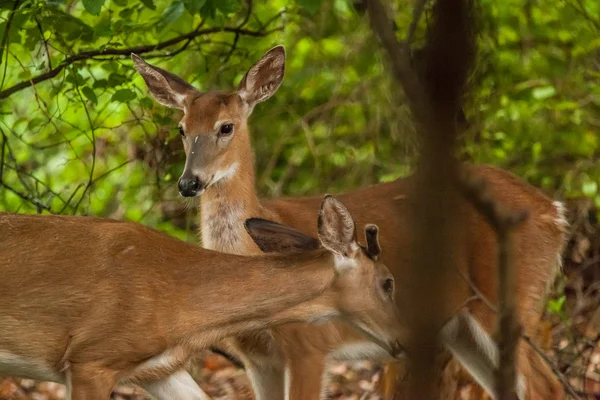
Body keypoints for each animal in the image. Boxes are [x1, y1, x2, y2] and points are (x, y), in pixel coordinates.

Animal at [134, 47, 568, 400]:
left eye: (226, 126)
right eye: (182, 129)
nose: (188, 182)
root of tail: (554, 210)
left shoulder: (308, 344)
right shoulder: (258, 357)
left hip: (508, 298)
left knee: (545, 386)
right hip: (460, 327)